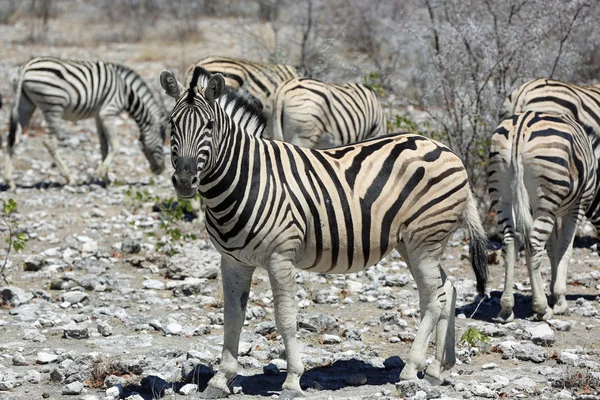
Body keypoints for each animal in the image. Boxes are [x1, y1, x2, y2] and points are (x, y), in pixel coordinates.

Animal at [5, 55, 169, 191]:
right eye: (162, 143)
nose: (160, 170)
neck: (126, 91)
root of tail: (25, 67)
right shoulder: (108, 112)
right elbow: (115, 145)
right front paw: (96, 175)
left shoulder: (98, 116)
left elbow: (104, 147)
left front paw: (105, 179)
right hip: (53, 107)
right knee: (48, 141)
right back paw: (69, 178)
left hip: (26, 104)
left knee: (14, 138)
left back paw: (9, 182)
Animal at [159, 66, 488, 396]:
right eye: (172, 123)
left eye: (209, 125)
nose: (185, 181)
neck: (248, 179)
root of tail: (446, 149)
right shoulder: (233, 261)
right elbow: (232, 317)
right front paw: (220, 378)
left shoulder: (280, 258)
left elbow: (285, 319)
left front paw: (292, 380)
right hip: (412, 242)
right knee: (446, 288)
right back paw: (436, 369)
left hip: (425, 238)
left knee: (434, 299)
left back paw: (411, 369)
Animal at [490, 111, 596, 324]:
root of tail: (520, 128)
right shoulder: (578, 206)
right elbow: (564, 249)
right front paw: (560, 300)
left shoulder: (552, 212)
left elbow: (552, 250)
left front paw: (554, 293)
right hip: (547, 198)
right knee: (534, 246)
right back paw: (541, 308)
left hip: (502, 196)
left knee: (509, 244)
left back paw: (506, 309)